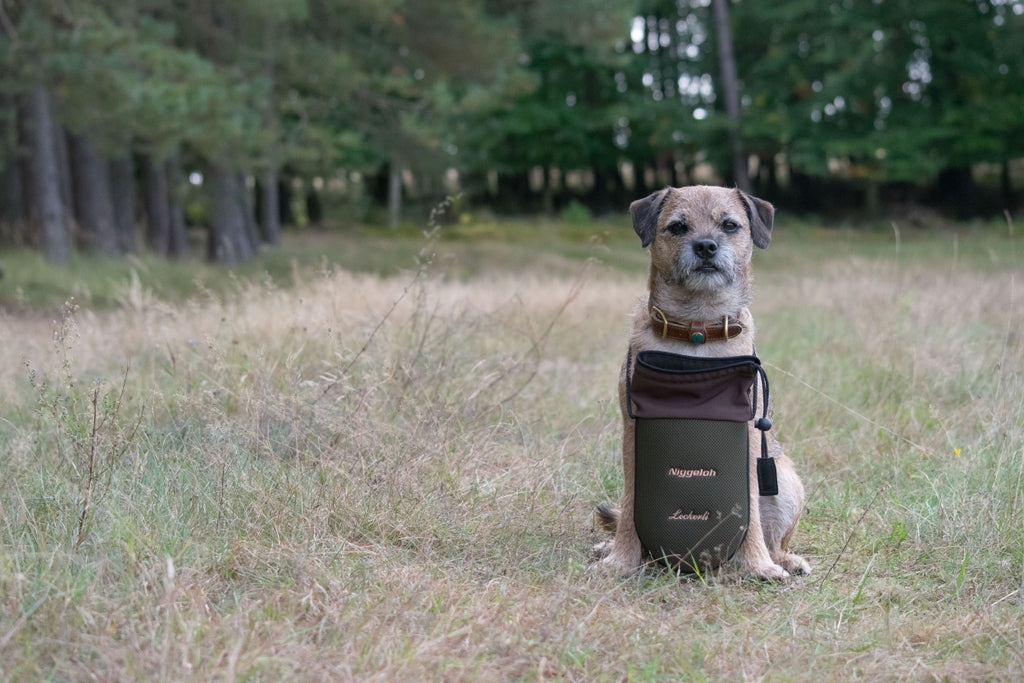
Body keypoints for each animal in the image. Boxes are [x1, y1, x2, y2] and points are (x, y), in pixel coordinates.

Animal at [598, 184, 811, 581]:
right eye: (678, 227)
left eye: (729, 225)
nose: (706, 246)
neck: (696, 330)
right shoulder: (632, 433)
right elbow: (631, 506)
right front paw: (620, 560)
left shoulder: (748, 441)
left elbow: (750, 514)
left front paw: (758, 565)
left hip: (786, 480)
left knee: (775, 538)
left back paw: (782, 561)